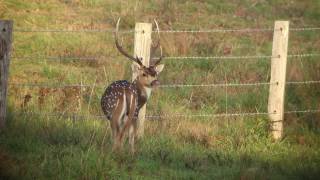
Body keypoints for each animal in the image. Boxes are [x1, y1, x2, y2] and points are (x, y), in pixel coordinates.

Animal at [100, 17, 165, 153]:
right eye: (144, 73)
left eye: (155, 73)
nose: (155, 82)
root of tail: (125, 93)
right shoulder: (136, 111)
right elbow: (131, 136)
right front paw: (132, 152)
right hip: (128, 113)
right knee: (122, 135)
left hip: (115, 114)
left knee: (118, 136)